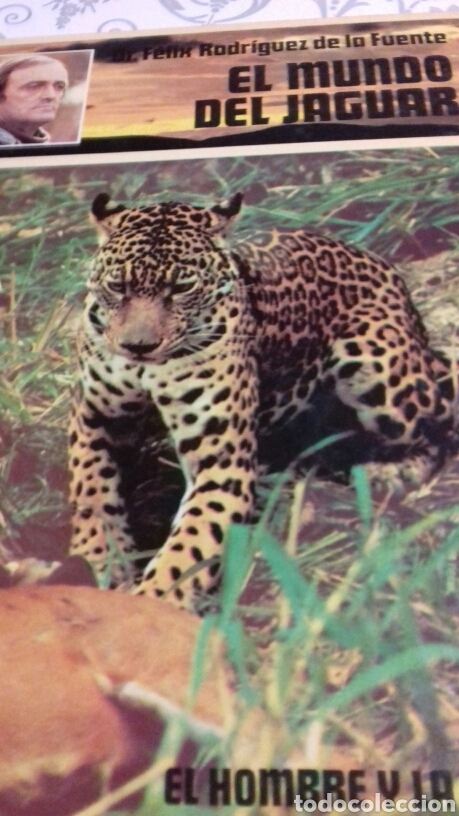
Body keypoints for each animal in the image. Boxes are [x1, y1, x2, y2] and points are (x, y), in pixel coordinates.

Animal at [69, 191, 458, 612]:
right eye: (117, 286)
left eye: (182, 288)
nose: (137, 346)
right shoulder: (93, 416)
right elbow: (91, 494)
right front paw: (98, 562)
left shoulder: (222, 462)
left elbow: (186, 550)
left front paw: (153, 602)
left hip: (382, 372)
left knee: (441, 425)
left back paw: (388, 474)